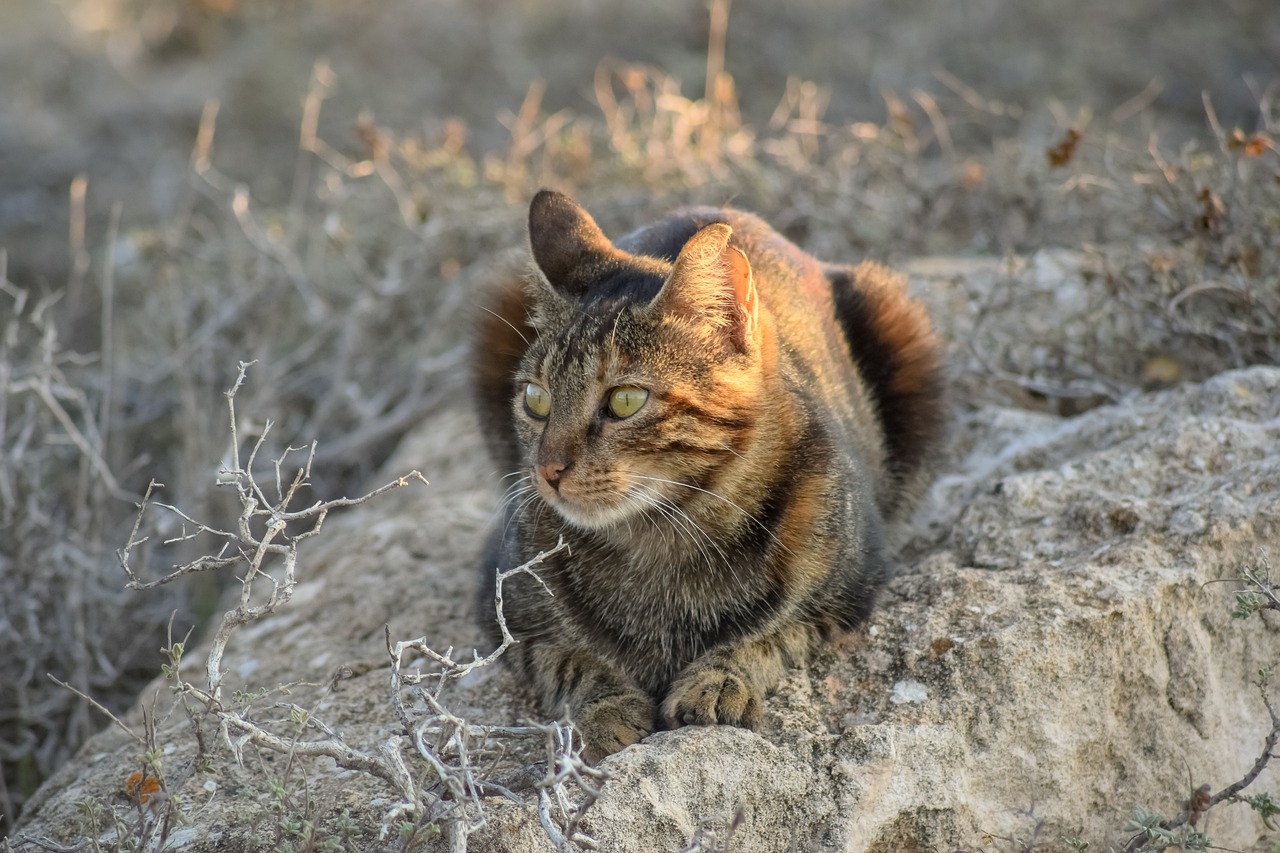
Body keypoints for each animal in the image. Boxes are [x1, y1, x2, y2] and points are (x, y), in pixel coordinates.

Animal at [471, 189, 942, 758]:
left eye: (625, 400)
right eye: (534, 399)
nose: (547, 469)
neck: (660, 537)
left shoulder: (849, 593)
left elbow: (773, 633)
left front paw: (718, 681)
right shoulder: (507, 613)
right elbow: (571, 660)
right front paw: (607, 708)